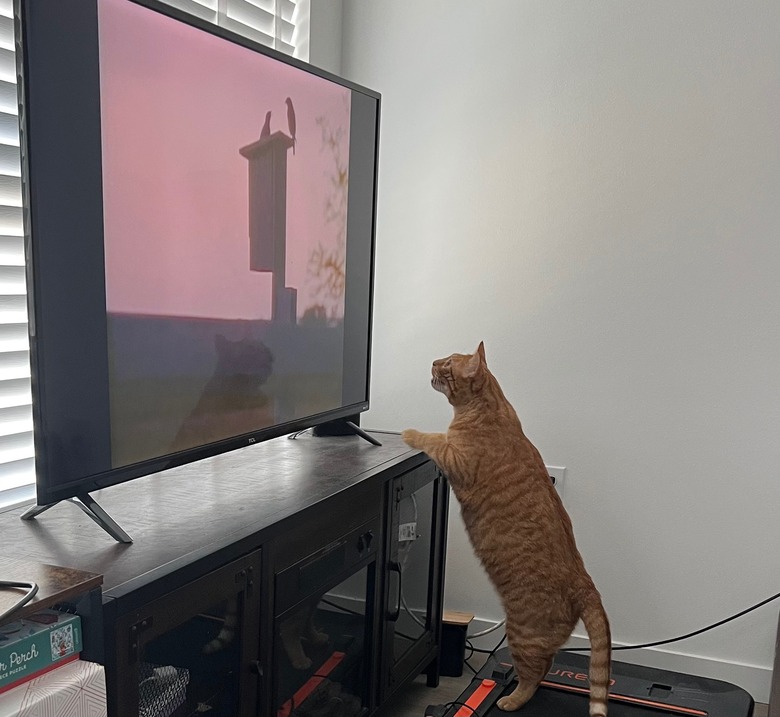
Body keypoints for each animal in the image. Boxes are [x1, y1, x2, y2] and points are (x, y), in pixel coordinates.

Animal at [402, 344, 608, 712]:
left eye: (447, 365)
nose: (432, 362)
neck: (490, 407)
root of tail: (585, 583)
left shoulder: (455, 460)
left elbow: (434, 439)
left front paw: (410, 433)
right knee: (547, 666)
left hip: (523, 633)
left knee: (534, 673)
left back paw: (510, 700)